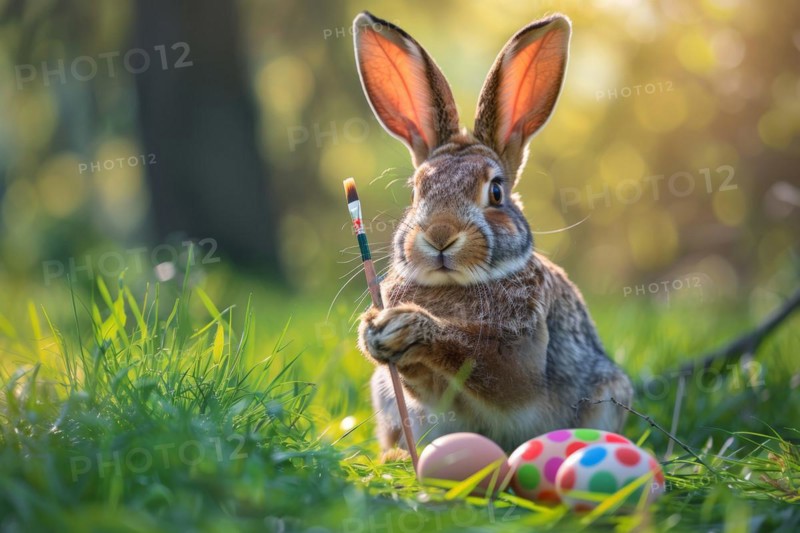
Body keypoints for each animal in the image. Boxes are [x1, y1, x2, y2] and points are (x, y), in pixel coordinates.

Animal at [352, 11, 633, 454]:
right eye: (416, 190)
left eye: (496, 192)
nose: (440, 236)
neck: (453, 286)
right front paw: (373, 332)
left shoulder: (518, 356)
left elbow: (478, 360)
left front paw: (409, 326)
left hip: (609, 390)